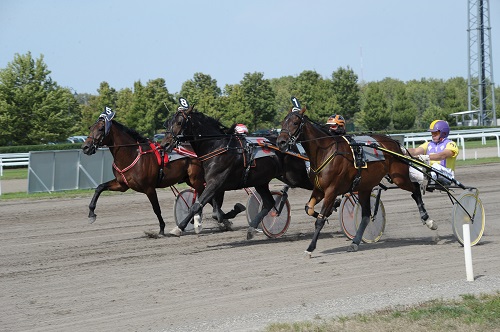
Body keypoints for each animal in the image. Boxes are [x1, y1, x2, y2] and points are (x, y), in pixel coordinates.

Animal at [81, 109, 244, 236]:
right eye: (90, 127)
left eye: (101, 129)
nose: (85, 147)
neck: (132, 154)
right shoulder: (122, 185)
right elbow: (99, 187)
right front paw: (91, 214)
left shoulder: (148, 188)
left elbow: (156, 209)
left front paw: (160, 230)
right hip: (191, 180)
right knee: (207, 196)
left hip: (196, 179)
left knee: (210, 196)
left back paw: (222, 216)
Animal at [161, 104, 312, 239]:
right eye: (167, 123)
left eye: (179, 122)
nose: (164, 144)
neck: (217, 146)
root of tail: (291, 144)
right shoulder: (215, 185)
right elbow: (215, 213)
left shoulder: (216, 182)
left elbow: (197, 206)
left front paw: (179, 228)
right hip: (261, 181)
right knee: (269, 203)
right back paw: (252, 228)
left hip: (295, 176)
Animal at [276, 104, 436, 254]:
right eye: (283, 122)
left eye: (295, 123)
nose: (281, 142)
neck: (326, 151)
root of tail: (393, 141)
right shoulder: (319, 189)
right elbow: (308, 209)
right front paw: (329, 212)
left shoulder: (331, 190)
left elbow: (319, 220)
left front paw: (310, 248)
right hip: (366, 186)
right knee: (366, 215)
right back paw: (355, 242)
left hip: (399, 177)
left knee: (415, 189)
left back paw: (429, 220)